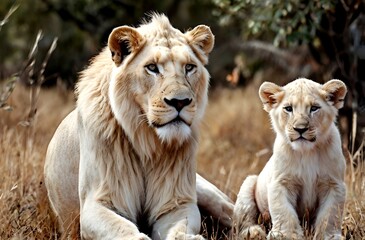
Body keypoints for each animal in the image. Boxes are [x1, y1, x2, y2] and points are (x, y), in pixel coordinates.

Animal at [44, 13, 232, 240]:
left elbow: (178, 229)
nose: (180, 102)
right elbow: (128, 232)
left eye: (189, 67)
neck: (145, 140)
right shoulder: (96, 204)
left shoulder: (176, 202)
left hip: (204, 191)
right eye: (152, 67)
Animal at [233, 78, 346, 239]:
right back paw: (253, 232)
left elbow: (329, 215)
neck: (307, 152)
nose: (300, 129)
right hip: (249, 183)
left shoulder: (334, 184)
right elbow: (284, 212)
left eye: (314, 108)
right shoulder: (281, 182)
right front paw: (286, 235)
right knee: (244, 220)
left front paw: (328, 236)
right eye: (288, 108)